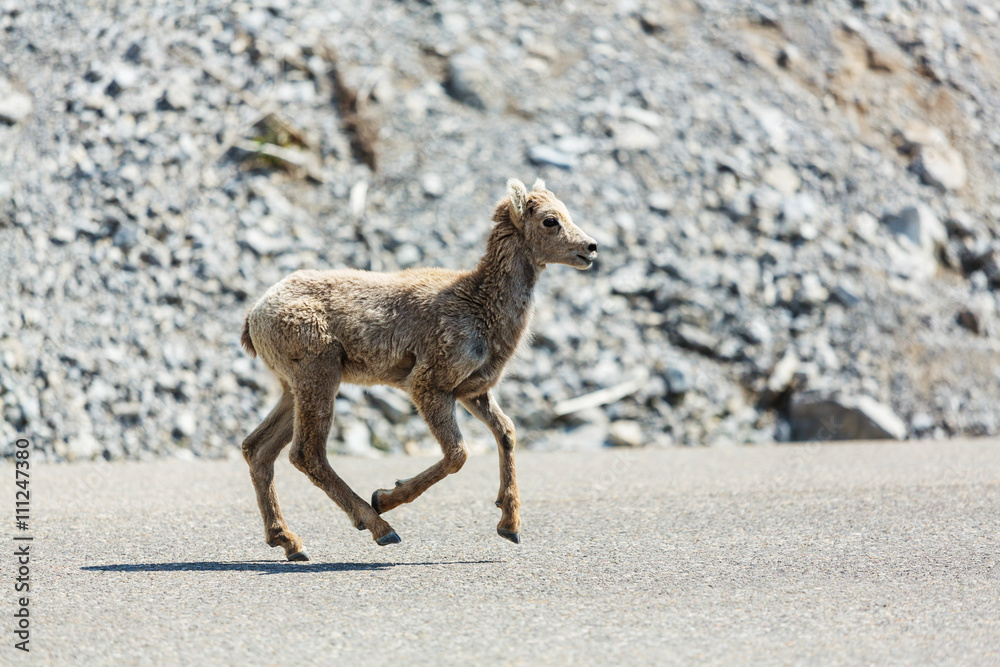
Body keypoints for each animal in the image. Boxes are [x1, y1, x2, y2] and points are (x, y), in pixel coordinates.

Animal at [240, 178, 598, 560]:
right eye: (550, 220)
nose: (591, 248)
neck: (480, 305)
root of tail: (255, 316)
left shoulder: (473, 392)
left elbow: (506, 432)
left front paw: (510, 526)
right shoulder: (429, 386)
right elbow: (458, 454)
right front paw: (383, 497)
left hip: (291, 389)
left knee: (258, 449)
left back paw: (289, 543)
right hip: (319, 378)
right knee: (307, 454)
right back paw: (380, 527)